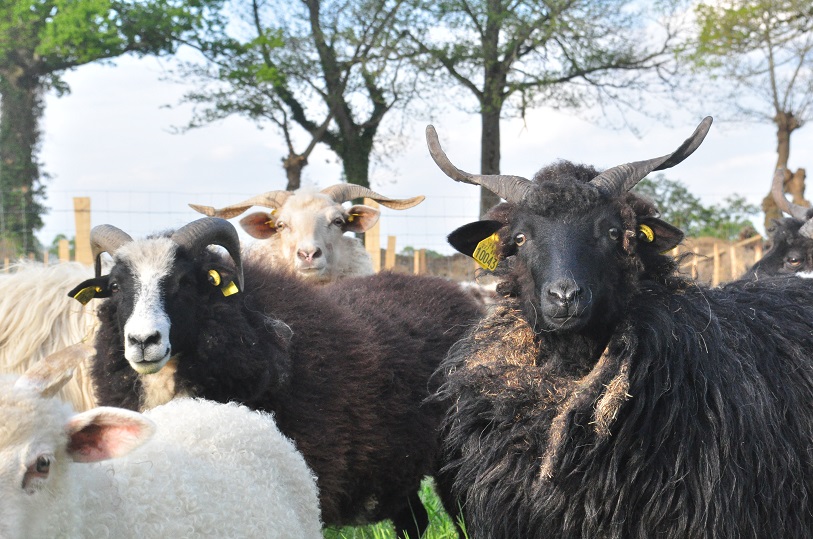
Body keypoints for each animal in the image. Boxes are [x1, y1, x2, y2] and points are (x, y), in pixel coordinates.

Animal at [66, 217, 482, 536]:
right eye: (115, 286)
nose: (142, 341)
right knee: (414, 520)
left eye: (184, 282)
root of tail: (455, 293)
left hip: (457, 458)